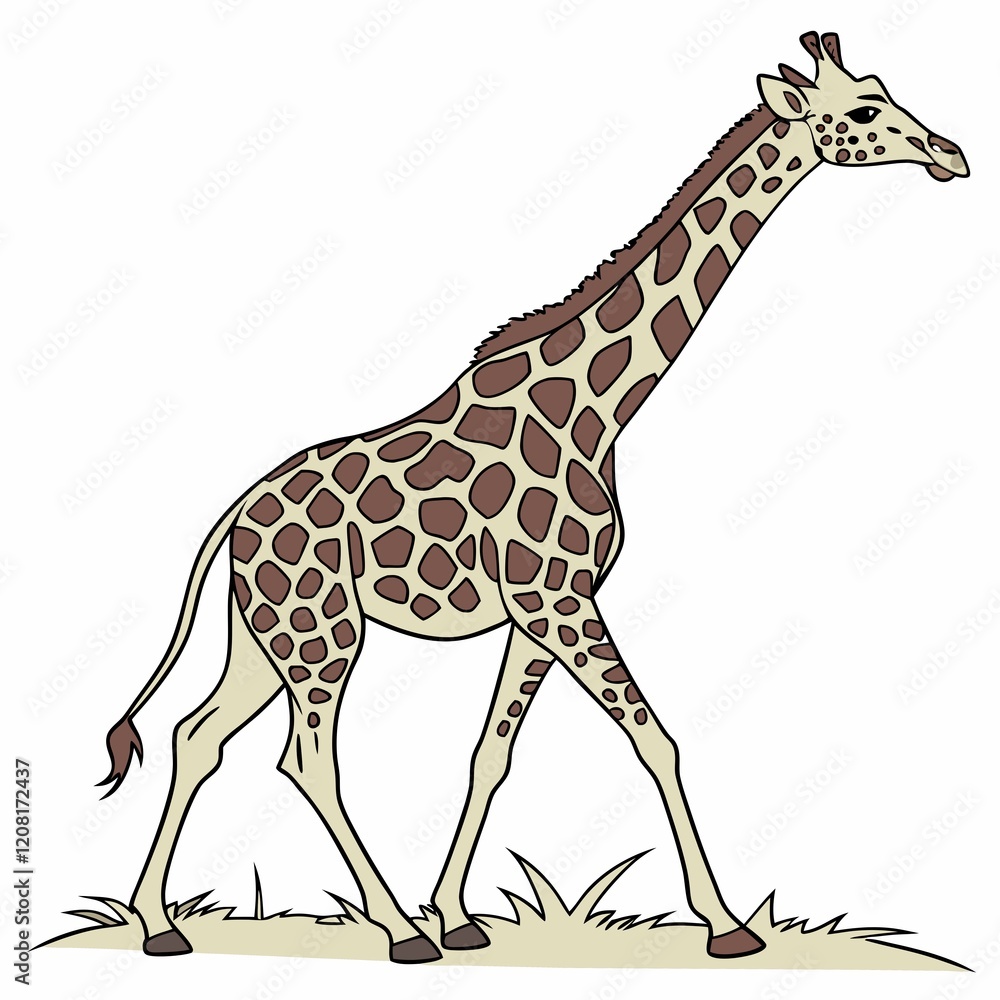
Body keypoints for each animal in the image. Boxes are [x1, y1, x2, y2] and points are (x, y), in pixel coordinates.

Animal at [97, 31, 968, 963]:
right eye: (864, 110)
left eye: (884, 88)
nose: (950, 154)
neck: (597, 409)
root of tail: (237, 512)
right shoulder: (559, 599)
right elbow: (656, 739)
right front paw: (727, 926)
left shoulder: (538, 611)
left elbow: (491, 754)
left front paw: (458, 915)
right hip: (319, 630)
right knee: (304, 759)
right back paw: (396, 931)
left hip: (267, 634)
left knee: (198, 735)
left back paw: (160, 925)